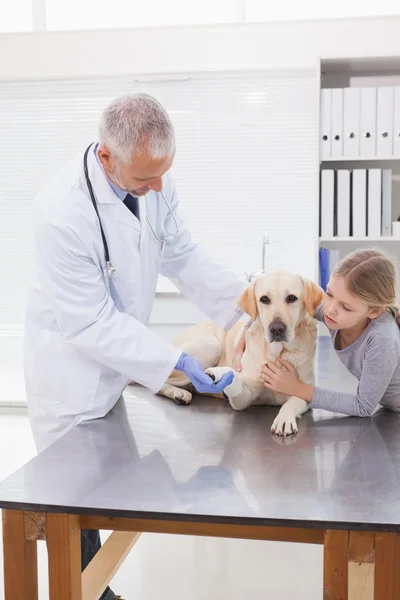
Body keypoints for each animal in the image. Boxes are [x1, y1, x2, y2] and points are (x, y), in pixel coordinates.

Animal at [158, 272, 324, 436]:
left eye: (291, 298)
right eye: (264, 299)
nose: (276, 328)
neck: (277, 354)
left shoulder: (305, 394)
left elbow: (290, 403)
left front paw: (284, 419)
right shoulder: (245, 396)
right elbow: (237, 386)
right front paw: (221, 376)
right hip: (211, 347)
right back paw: (179, 392)